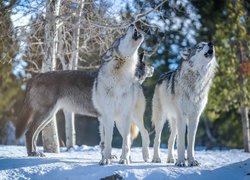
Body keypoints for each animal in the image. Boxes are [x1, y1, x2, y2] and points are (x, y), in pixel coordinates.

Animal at [92, 23, 147, 165]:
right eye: (121, 37)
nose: (132, 24)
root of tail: (138, 81)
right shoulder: (108, 116)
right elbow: (108, 142)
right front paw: (106, 160)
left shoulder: (126, 115)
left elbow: (125, 143)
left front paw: (123, 159)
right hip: (117, 122)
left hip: (133, 118)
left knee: (143, 133)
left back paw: (144, 156)